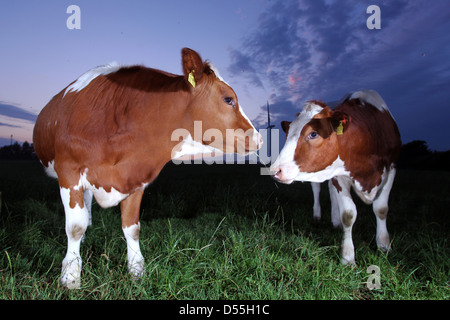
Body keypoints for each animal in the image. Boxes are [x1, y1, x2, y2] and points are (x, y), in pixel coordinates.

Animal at [32, 48, 264, 290]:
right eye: (229, 99)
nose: (259, 139)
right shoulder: (69, 172)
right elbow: (75, 227)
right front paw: (70, 276)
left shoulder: (135, 176)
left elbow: (132, 227)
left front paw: (137, 271)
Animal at [270, 90, 400, 264]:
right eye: (287, 134)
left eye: (313, 134)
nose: (275, 170)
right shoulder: (339, 174)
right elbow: (349, 214)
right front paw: (348, 257)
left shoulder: (391, 168)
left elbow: (381, 209)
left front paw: (384, 245)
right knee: (318, 189)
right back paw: (319, 215)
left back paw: (335, 221)